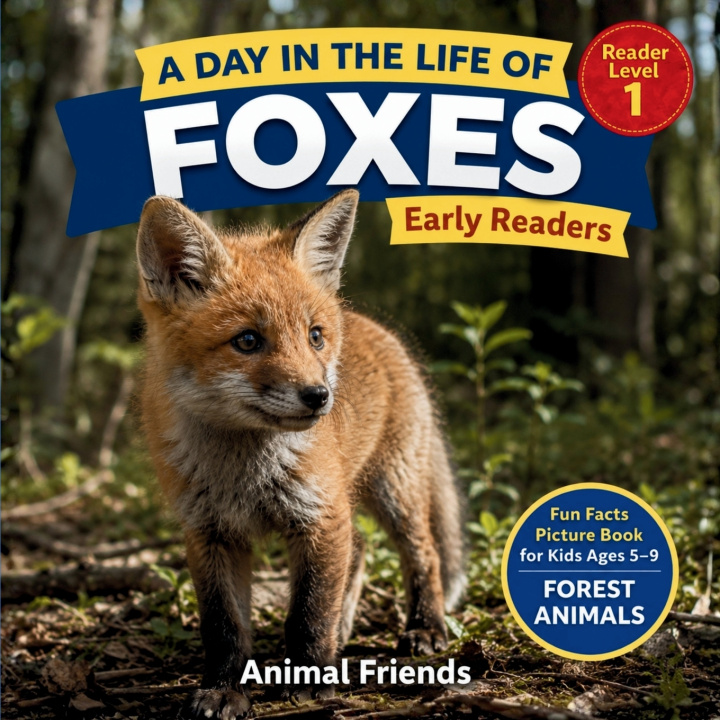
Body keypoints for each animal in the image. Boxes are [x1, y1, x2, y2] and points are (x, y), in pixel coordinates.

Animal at [135, 190, 465, 720]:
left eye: (314, 336)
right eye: (247, 340)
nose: (318, 396)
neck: (244, 473)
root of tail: (377, 327)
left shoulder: (319, 515)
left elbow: (309, 611)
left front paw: (309, 679)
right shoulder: (208, 532)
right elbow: (224, 627)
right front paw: (224, 689)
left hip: (394, 492)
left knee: (424, 554)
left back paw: (424, 627)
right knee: (362, 550)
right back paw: (346, 630)